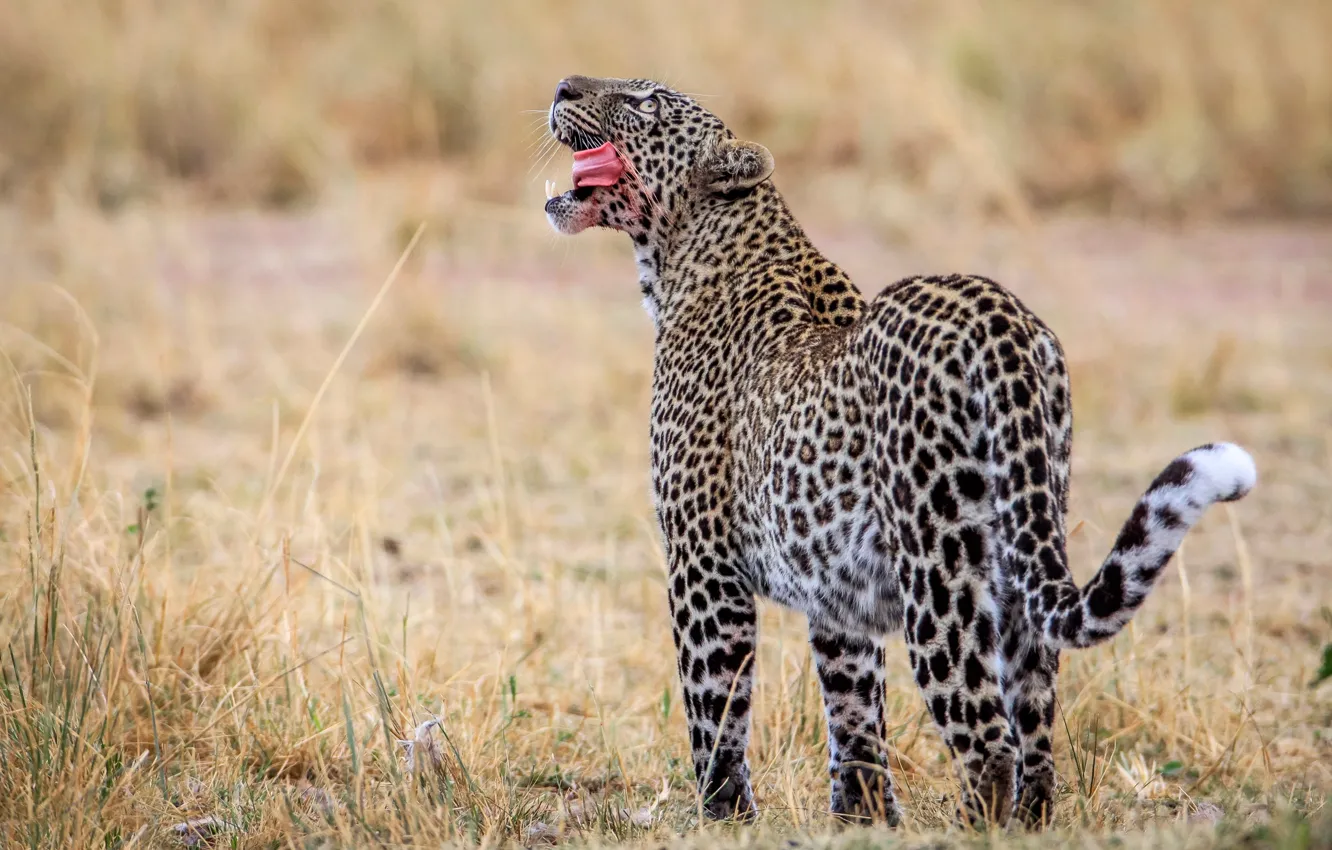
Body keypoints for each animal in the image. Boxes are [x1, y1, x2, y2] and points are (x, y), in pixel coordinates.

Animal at [542, 74, 1258, 829]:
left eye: (644, 101)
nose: (563, 85)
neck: (684, 261)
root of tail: (999, 314)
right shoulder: (835, 591)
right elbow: (854, 711)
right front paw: (860, 823)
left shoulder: (702, 563)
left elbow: (715, 703)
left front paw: (725, 818)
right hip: (1025, 538)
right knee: (1035, 731)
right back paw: (1028, 823)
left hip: (936, 567)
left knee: (986, 738)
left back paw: (971, 832)